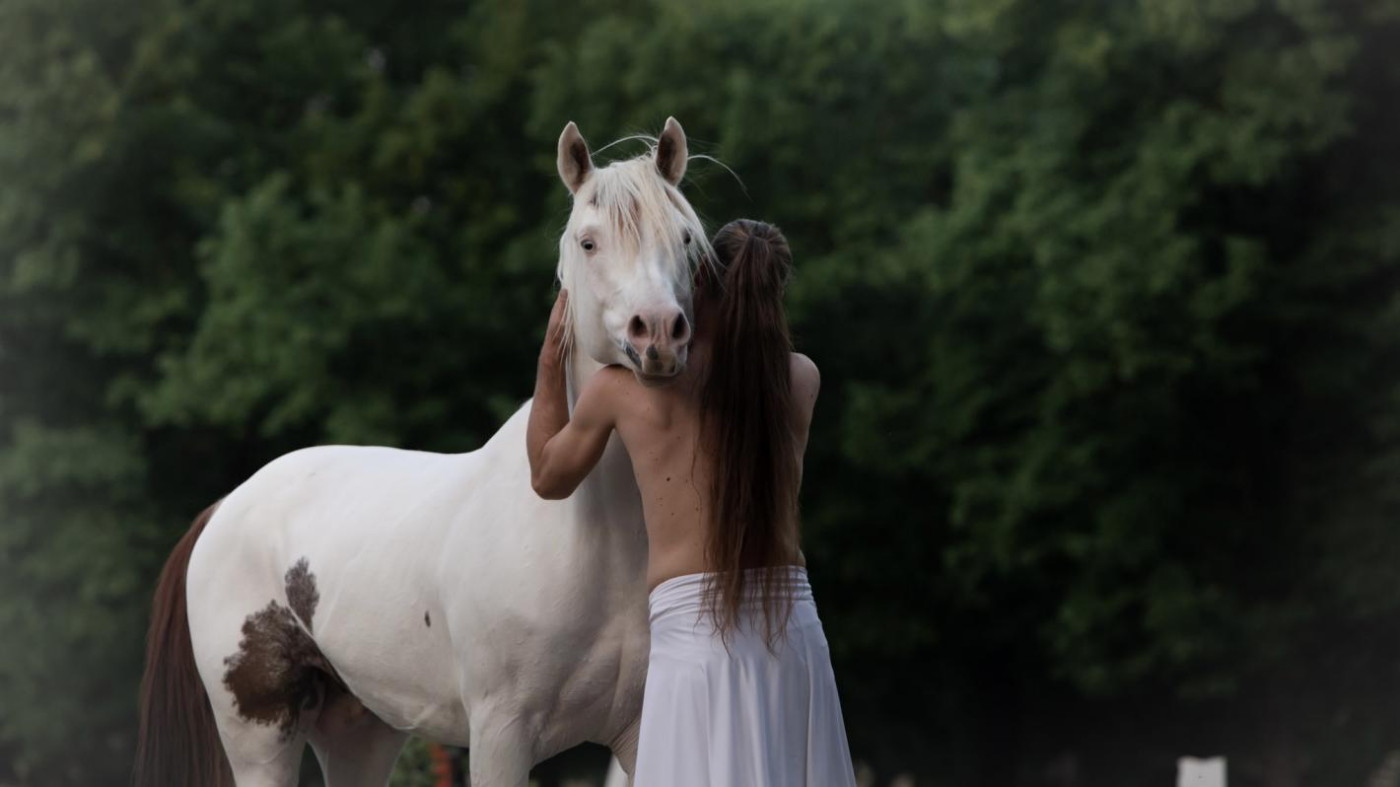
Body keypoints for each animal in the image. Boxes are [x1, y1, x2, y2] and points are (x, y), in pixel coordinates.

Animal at [135, 117, 710, 786]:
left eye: (684, 239)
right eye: (589, 243)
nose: (659, 332)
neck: (586, 534)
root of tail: (225, 507)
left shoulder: (640, 730)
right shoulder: (501, 734)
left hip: (360, 735)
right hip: (260, 738)